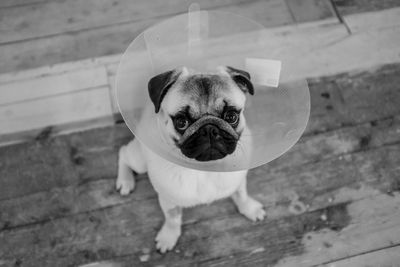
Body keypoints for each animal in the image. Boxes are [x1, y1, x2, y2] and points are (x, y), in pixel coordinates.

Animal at [116, 65, 266, 253]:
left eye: (231, 117)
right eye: (181, 122)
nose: (209, 129)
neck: (205, 168)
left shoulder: (238, 180)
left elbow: (241, 194)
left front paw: (249, 208)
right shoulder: (168, 198)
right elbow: (172, 219)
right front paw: (168, 236)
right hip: (139, 161)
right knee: (123, 152)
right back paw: (125, 181)